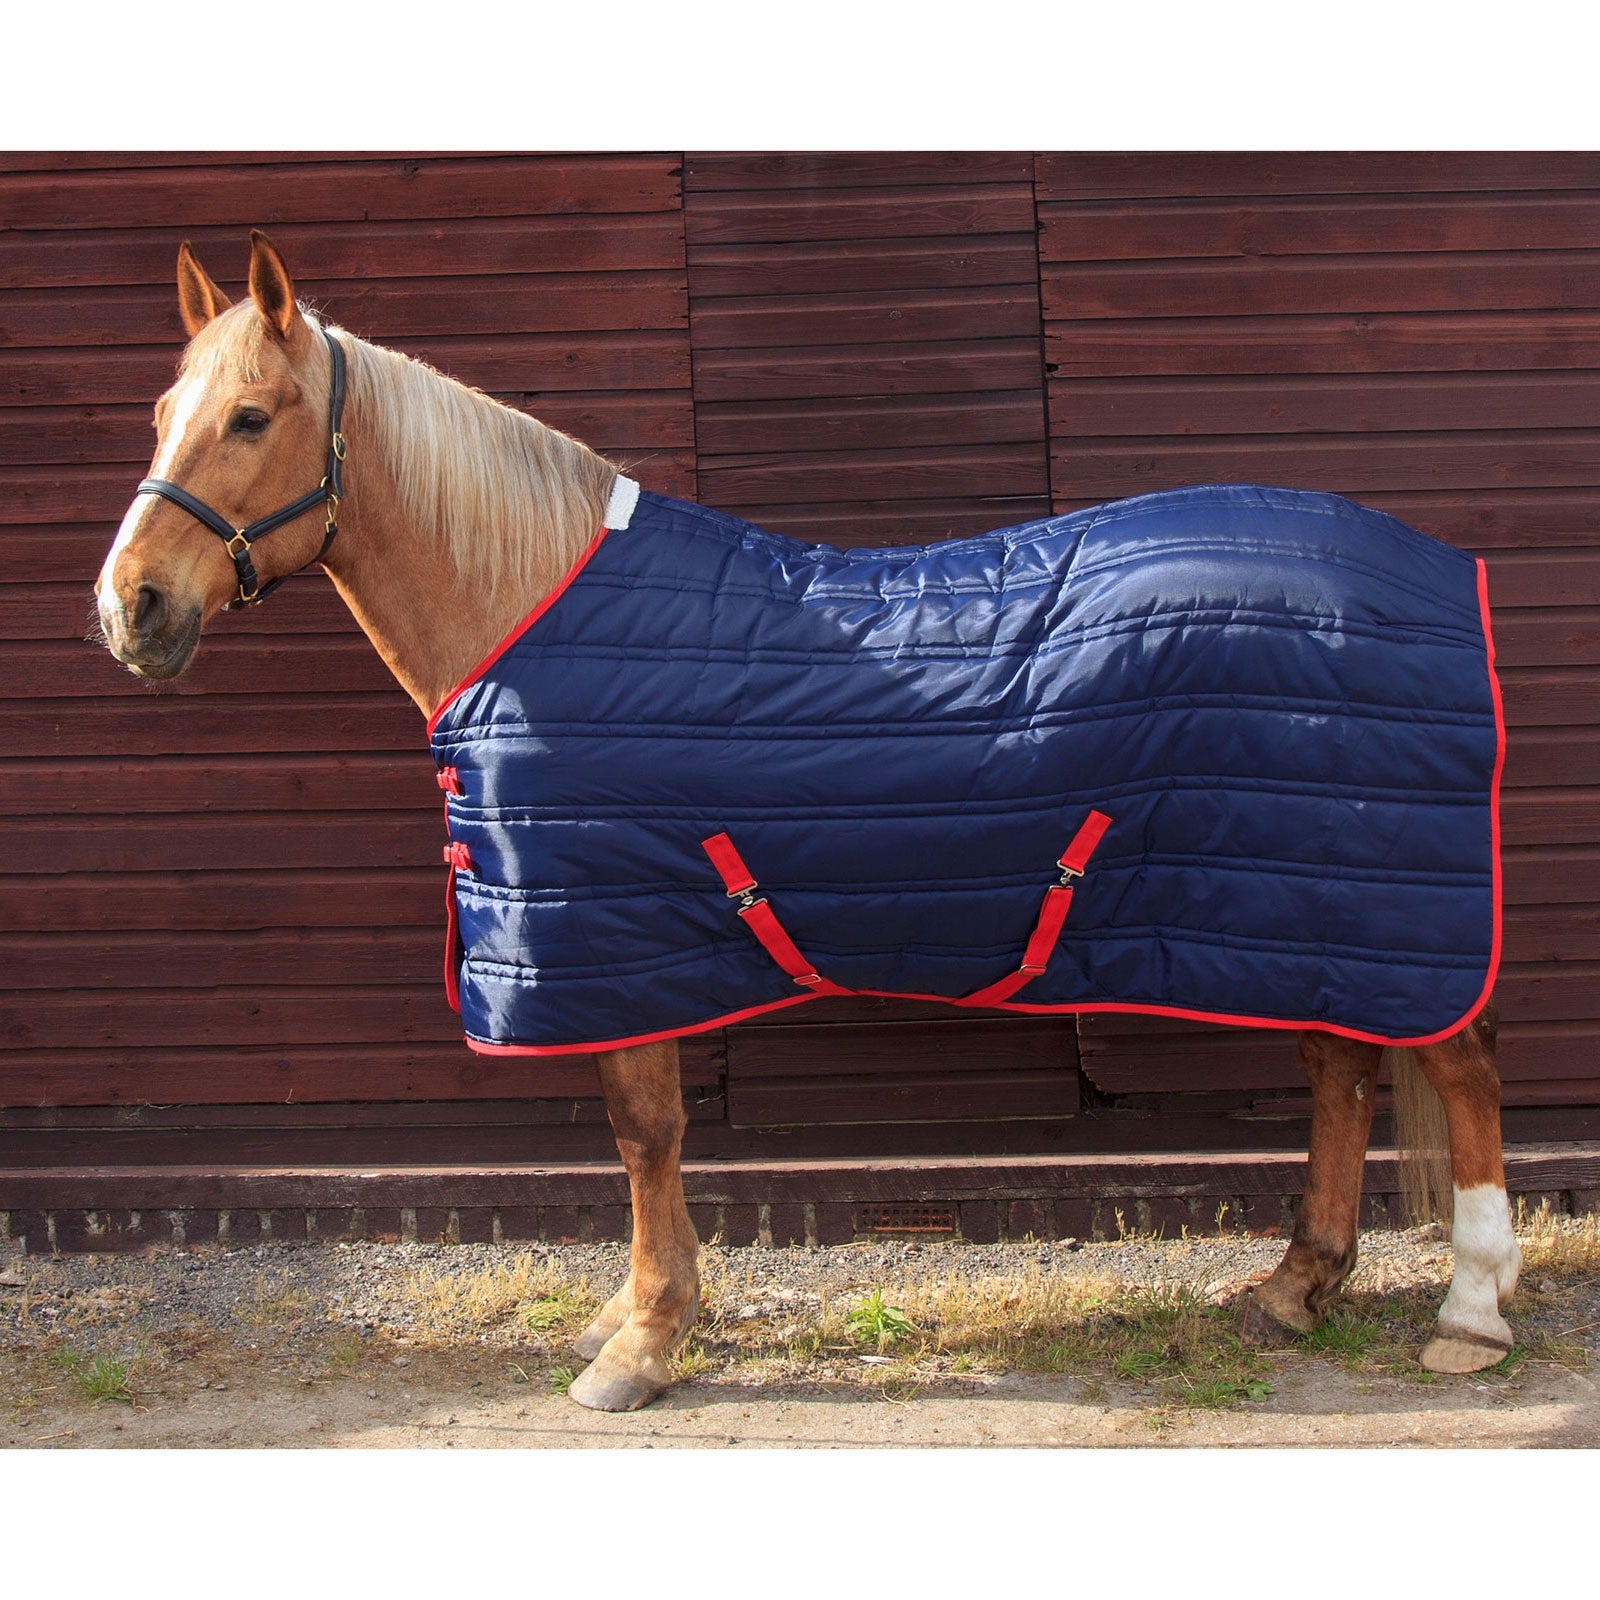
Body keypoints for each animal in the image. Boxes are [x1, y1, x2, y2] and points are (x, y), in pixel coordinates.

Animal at [93, 231, 1522, 1411]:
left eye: (251, 417)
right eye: (161, 414)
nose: (130, 608)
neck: (533, 605)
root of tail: (1434, 570)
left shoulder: (619, 928)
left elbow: (646, 1131)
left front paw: (642, 1340)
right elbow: (643, 1135)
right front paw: (636, 1314)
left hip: (1373, 897)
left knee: (1458, 1069)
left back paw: (1469, 1310)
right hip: (1300, 896)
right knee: (1340, 1063)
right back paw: (1296, 1282)